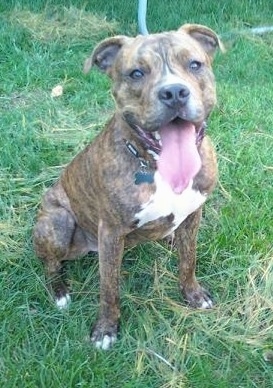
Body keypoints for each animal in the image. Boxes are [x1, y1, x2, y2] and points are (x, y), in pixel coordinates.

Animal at [33, 25, 221, 352]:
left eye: (194, 64)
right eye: (136, 73)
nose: (174, 92)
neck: (156, 166)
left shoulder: (194, 213)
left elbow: (188, 260)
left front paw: (193, 294)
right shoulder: (110, 231)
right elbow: (109, 287)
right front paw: (106, 329)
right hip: (58, 222)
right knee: (50, 263)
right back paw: (59, 292)